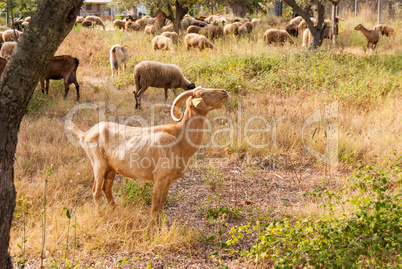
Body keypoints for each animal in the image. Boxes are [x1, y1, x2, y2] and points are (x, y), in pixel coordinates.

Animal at [67, 86, 228, 214]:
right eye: (203, 93)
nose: (225, 92)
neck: (179, 137)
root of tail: (86, 134)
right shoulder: (160, 176)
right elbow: (156, 202)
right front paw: (153, 226)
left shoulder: (168, 180)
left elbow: (162, 202)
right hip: (98, 165)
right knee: (95, 191)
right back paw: (100, 214)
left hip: (111, 168)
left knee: (106, 189)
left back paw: (114, 210)